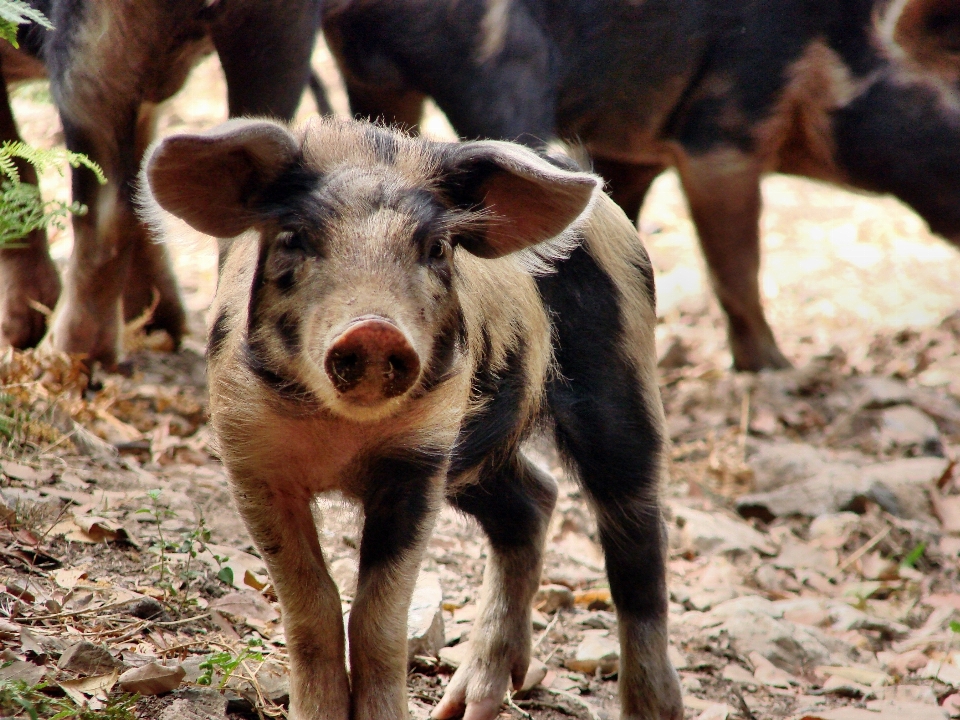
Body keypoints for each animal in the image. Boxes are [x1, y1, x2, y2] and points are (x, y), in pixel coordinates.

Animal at [141, 118, 684, 720]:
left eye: (436, 247)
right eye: (293, 238)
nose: (374, 329)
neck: (340, 437)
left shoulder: (419, 458)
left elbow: (378, 618)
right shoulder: (252, 459)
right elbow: (313, 606)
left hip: (622, 377)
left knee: (638, 543)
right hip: (478, 454)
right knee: (533, 502)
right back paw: (467, 707)